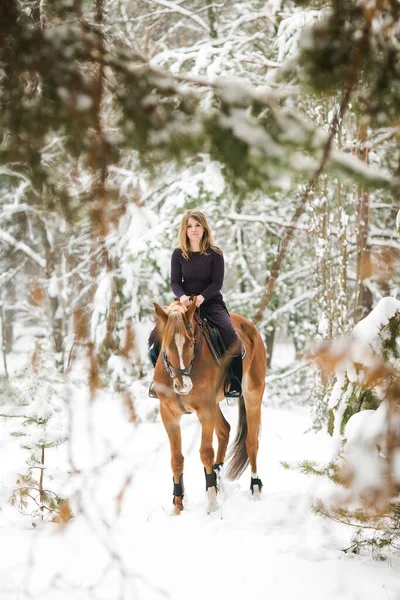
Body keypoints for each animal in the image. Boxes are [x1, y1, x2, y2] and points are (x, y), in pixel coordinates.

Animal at [153, 298, 266, 512]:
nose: (183, 386)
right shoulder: (169, 414)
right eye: (166, 344)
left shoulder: (205, 411)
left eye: (191, 343)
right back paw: (217, 476)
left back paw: (255, 489)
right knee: (224, 431)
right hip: (215, 405)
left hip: (253, 395)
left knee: (252, 443)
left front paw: (212, 504)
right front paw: (178, 506)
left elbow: (206, 453)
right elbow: (176, 459)